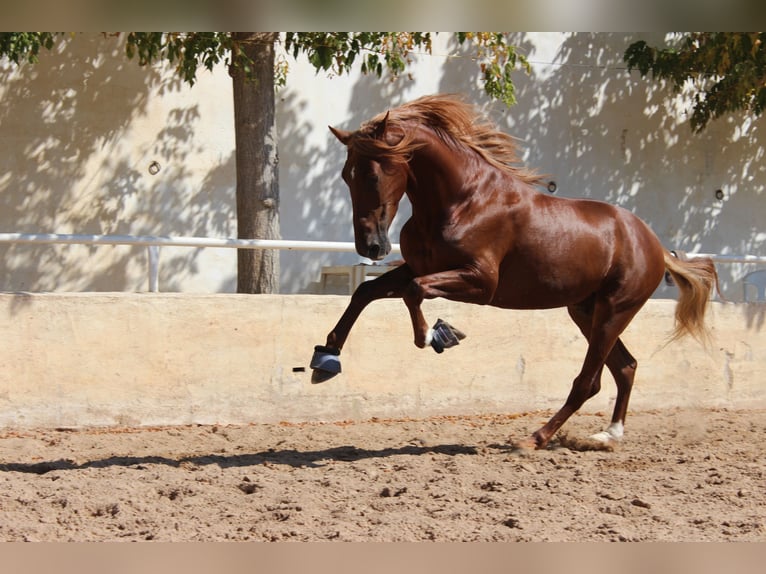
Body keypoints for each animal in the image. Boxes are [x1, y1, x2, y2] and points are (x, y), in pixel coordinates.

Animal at [310, 94, 718, 450]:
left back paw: (535, 438)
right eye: (347, 175)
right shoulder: (419, 267)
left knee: (589, 382)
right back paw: (608, 435)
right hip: (586, 310)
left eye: (373, 175)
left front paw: (437, 335)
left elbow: (415, 292)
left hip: (614, 311)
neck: (462, 200)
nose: (371, 247)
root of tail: (655, 245)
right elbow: (366, 292)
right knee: (626, 367)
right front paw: (325, 359)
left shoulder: (481, 283)